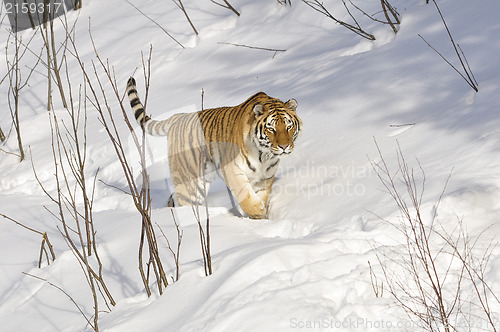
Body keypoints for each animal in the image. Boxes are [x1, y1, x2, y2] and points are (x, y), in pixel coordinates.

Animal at [127, 76, 302, 219]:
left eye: (288, 126)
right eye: (271, 128)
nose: (284, 146)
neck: (264, 156)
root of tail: (179, 116)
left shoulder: (265, 177)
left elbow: (261, 195)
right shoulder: (232, 169)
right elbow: (245, 194)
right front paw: (257, 211)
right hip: (190, 181)